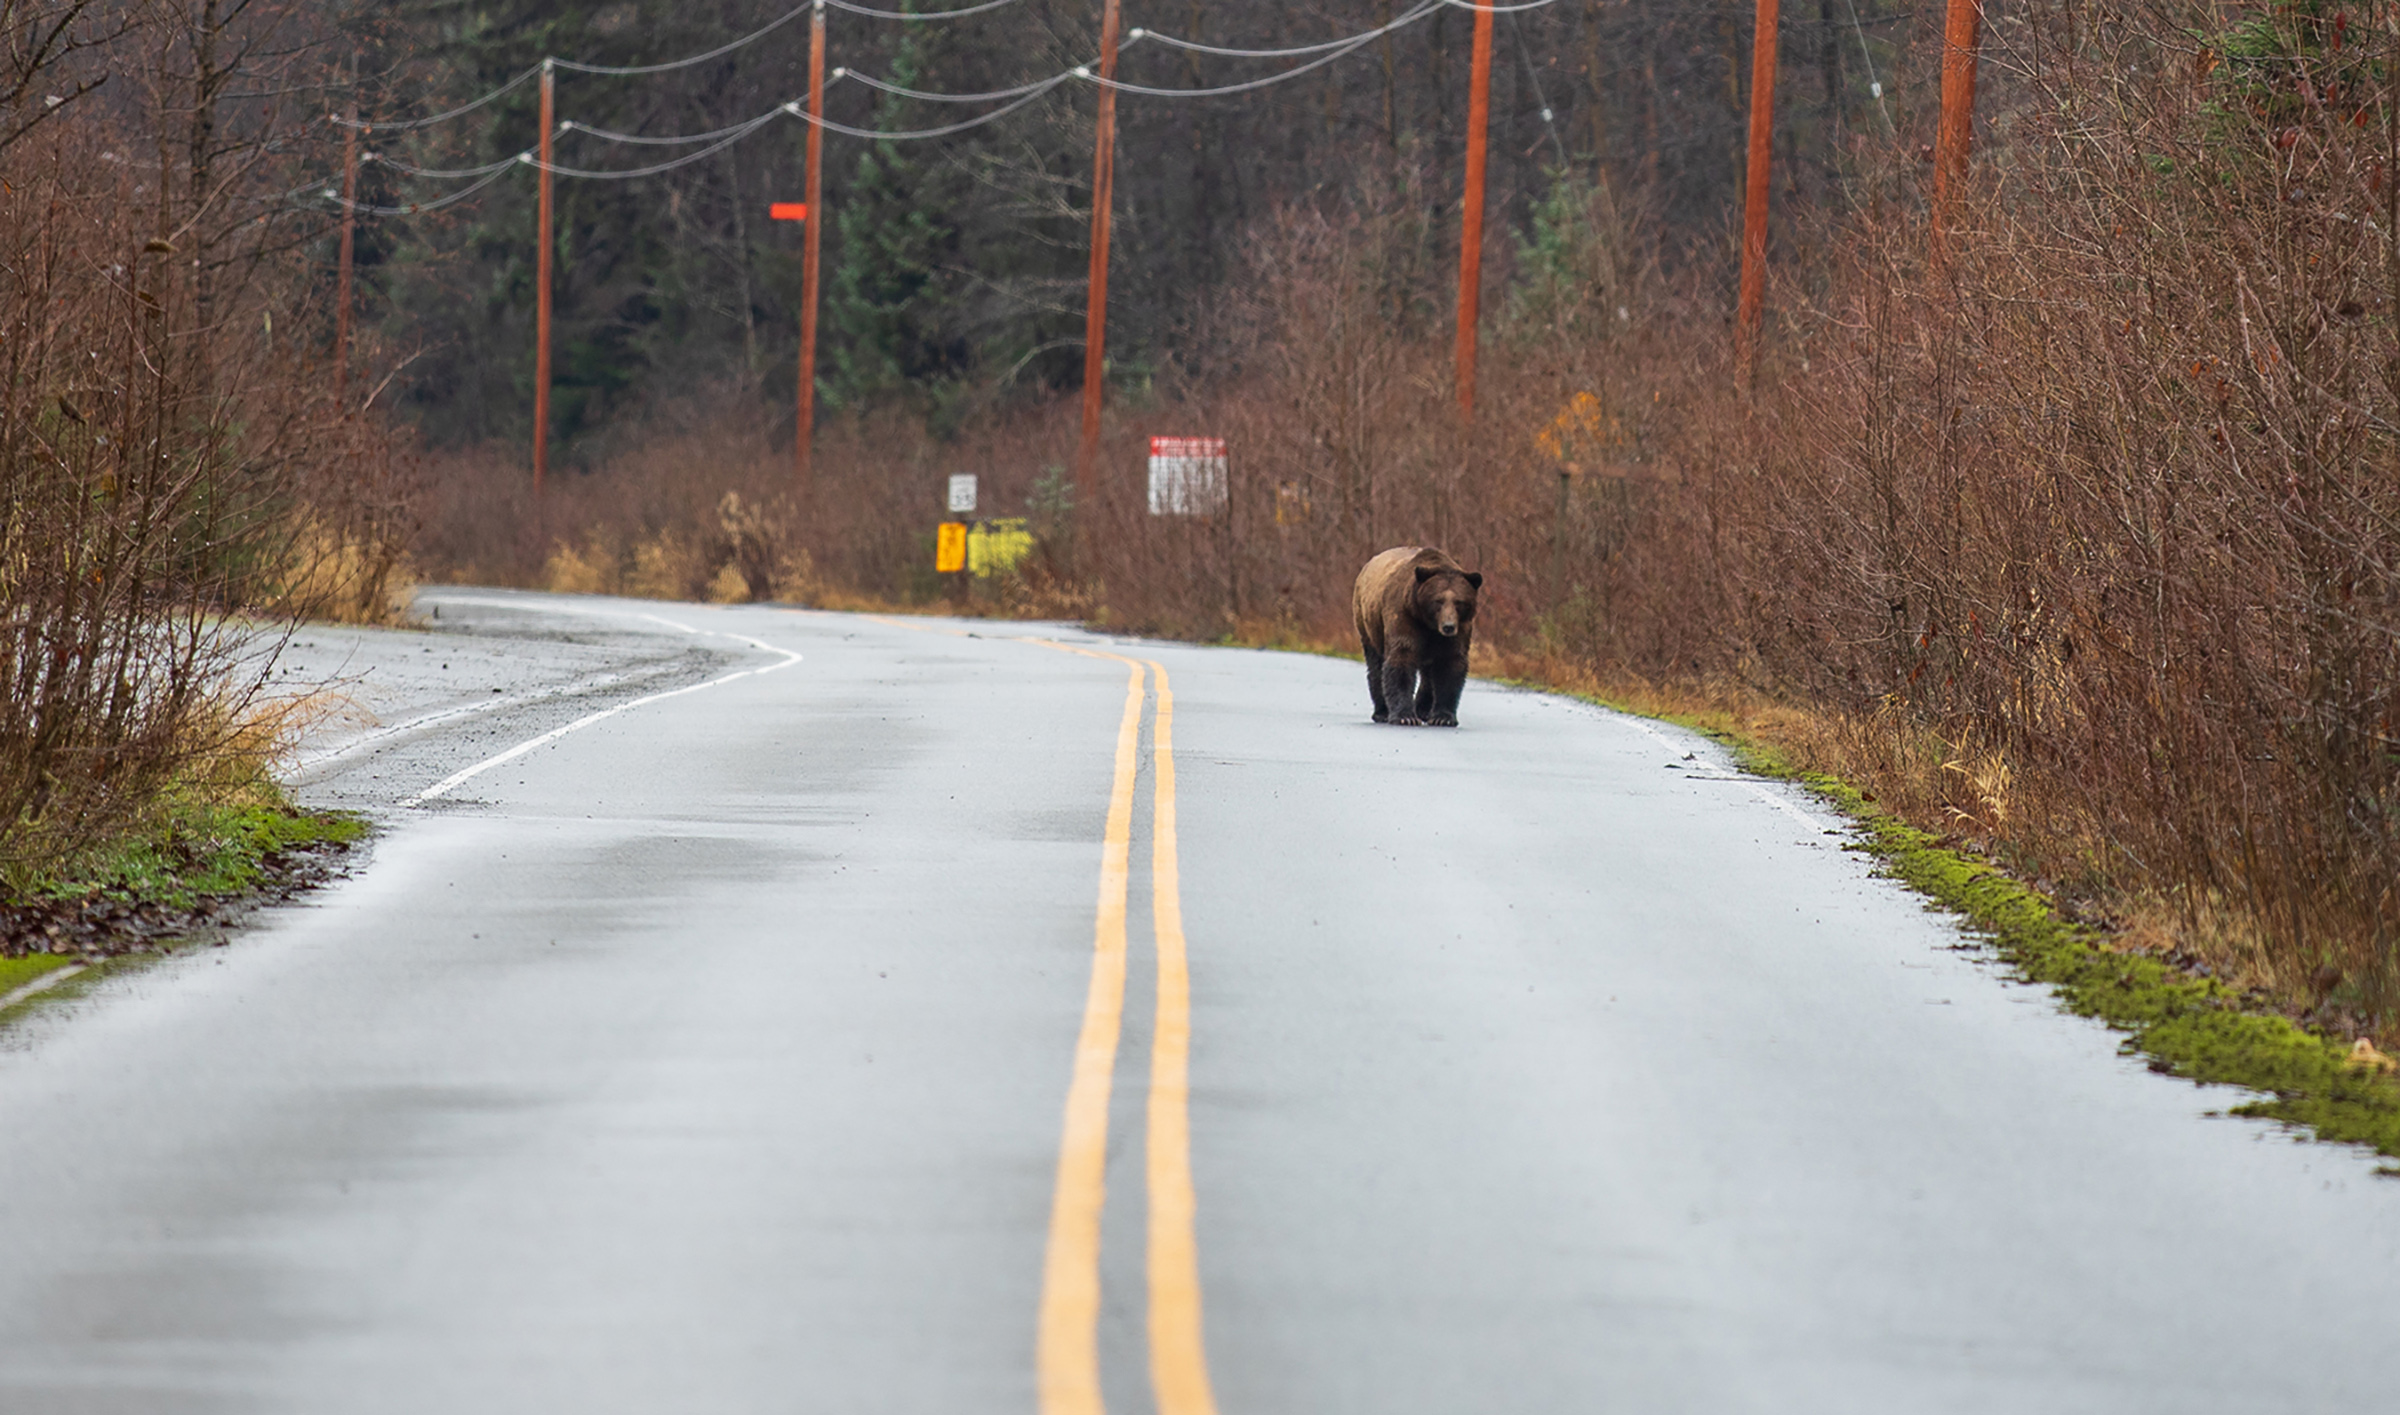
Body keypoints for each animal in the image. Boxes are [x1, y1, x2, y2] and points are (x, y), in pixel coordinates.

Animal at [1353, 549, 1478, 733]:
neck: (1429, 624)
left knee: (1428, 675)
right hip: (1368, 623)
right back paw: (1382, 712)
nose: (1448, 626)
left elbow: (1450, 665)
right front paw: (1405, 717)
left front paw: (1443, 718)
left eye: (1459, 602)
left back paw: (1422, 710)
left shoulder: (1460, 628)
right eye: (1438, 601)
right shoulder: (1404, 616)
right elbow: (1401, 659)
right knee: (1375, 665)